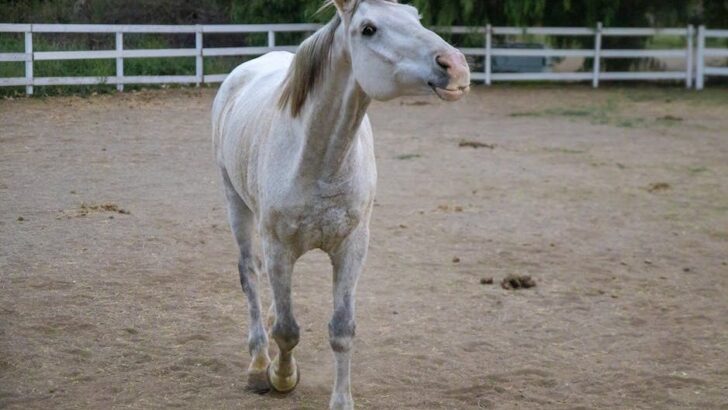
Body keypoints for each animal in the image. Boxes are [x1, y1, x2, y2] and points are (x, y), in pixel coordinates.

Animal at [211, 0, 469, 408]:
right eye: (368, 29)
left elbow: (342, 330)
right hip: (236, 204)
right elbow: (287, 330)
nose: (456, 65)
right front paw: (282, 376)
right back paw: (257, 363)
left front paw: (341, 400)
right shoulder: (278, 247)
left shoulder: (352, 247)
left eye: (416, 17)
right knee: (250, 275)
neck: (318, 159)